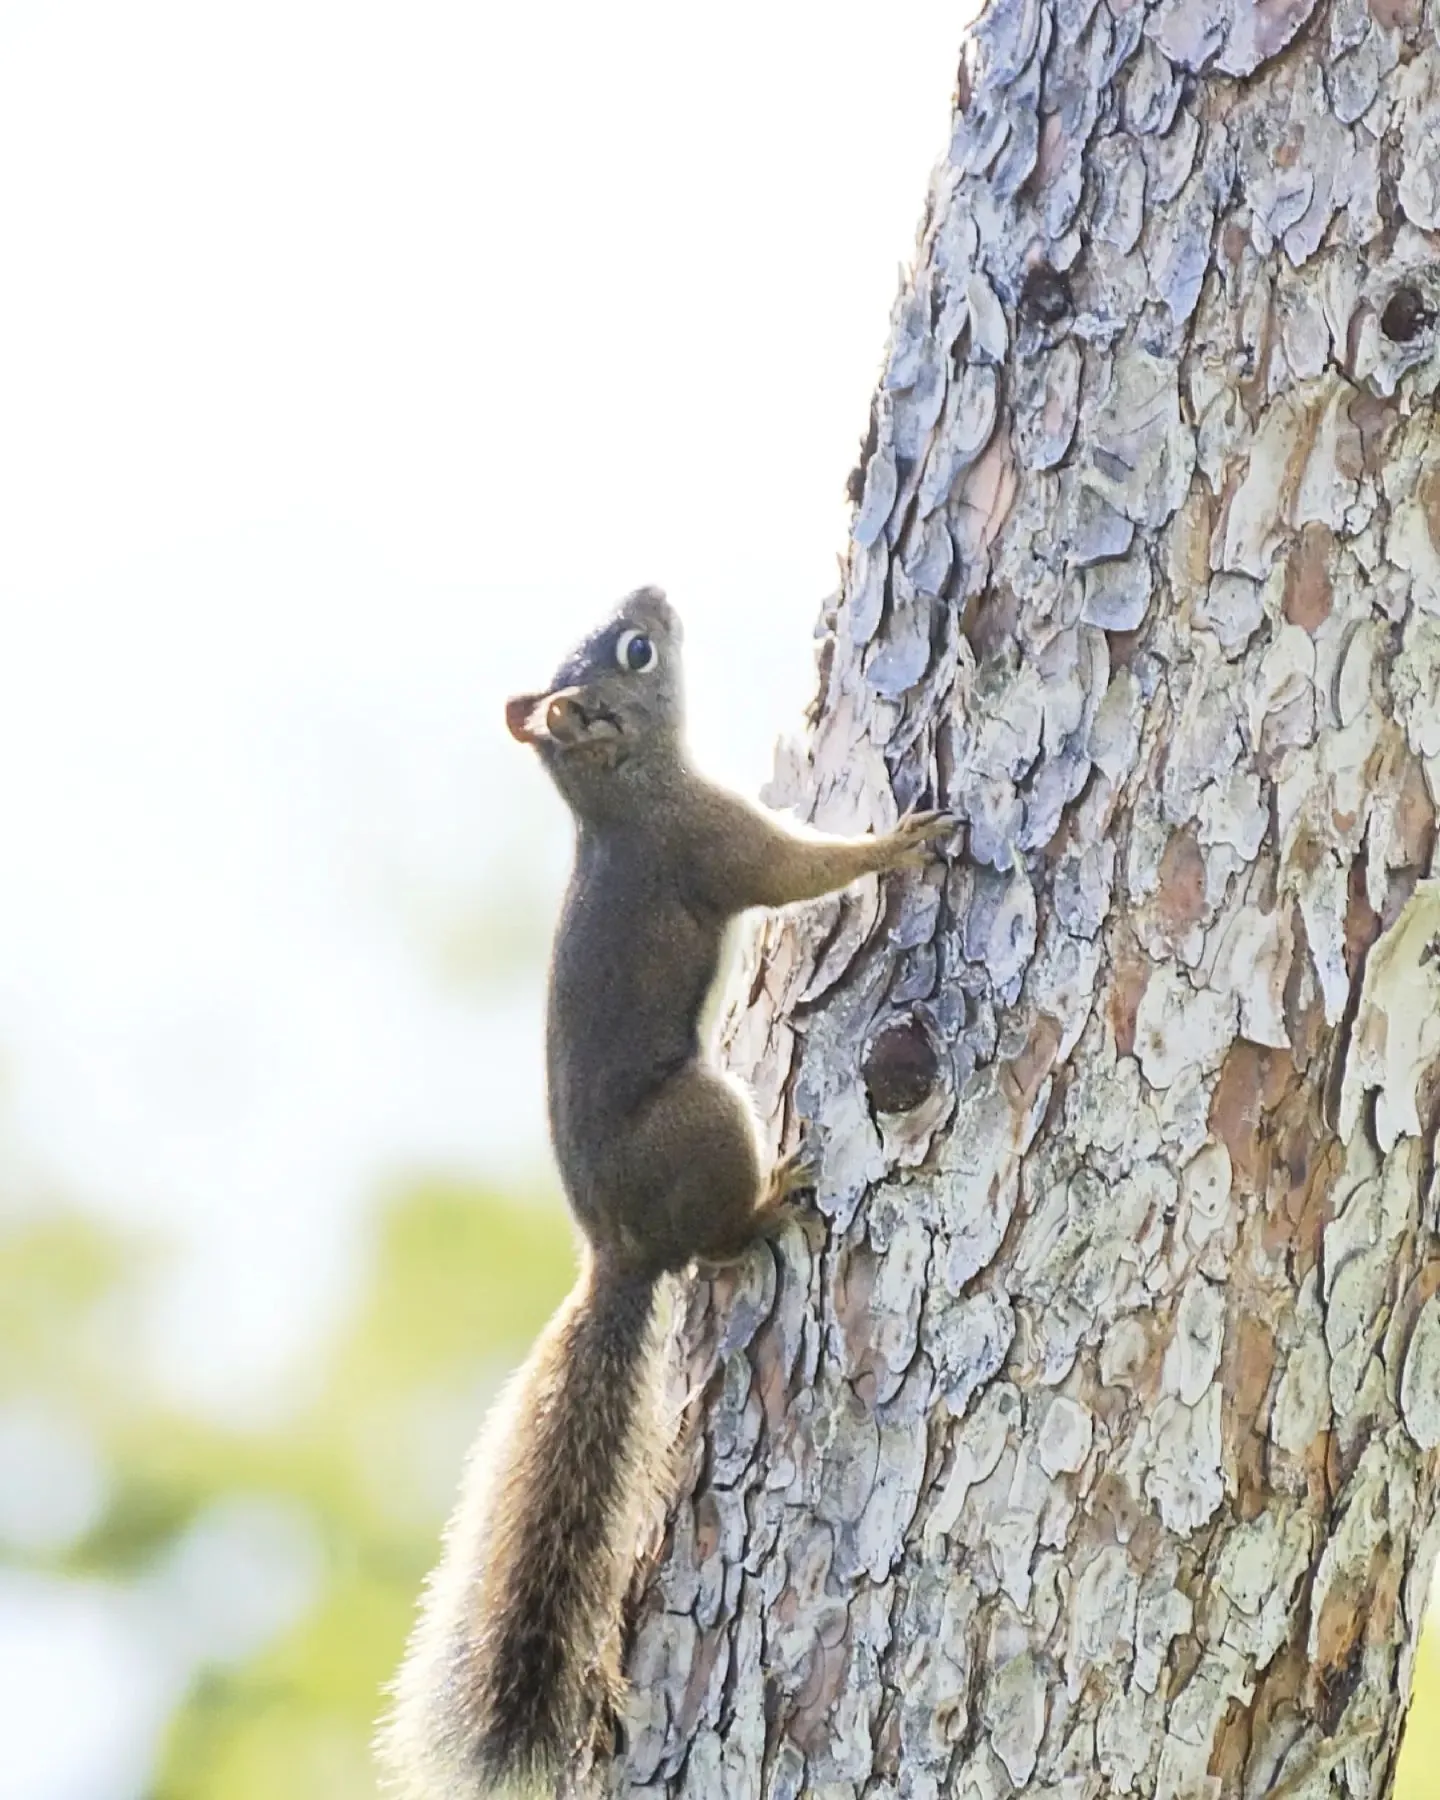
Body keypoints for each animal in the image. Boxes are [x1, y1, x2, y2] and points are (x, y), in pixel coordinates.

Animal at [378, 586, 948, 1799]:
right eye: (636, 652)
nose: (652, 594)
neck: (622, 795)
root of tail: (620, 1247)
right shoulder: (714, 845)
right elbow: (797, 875)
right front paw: (901, 839)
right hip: (708, 1117)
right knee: (717, 1243)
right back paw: (772, 1199)